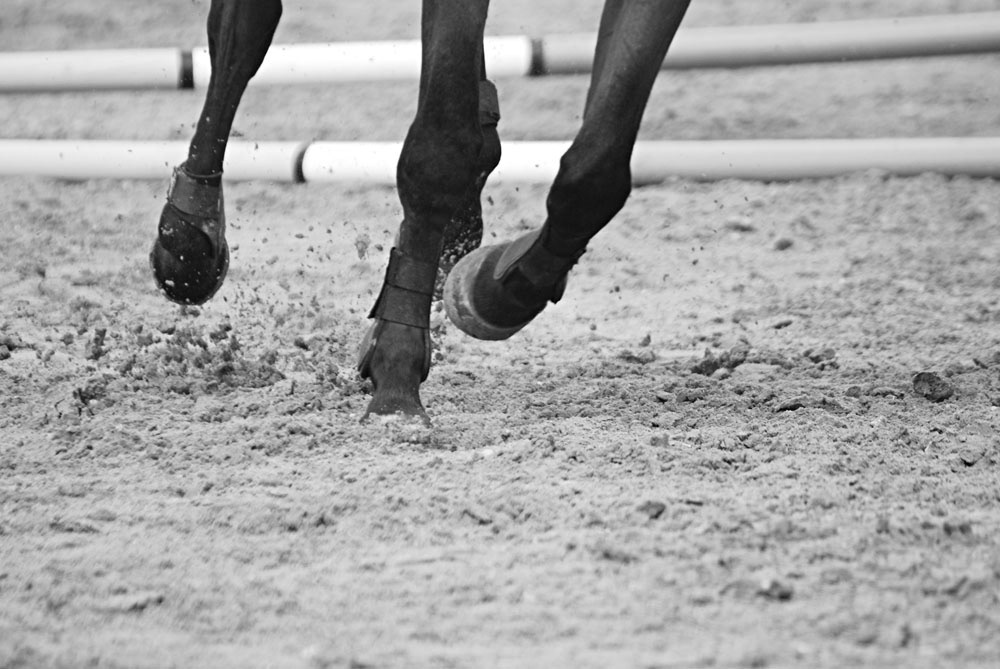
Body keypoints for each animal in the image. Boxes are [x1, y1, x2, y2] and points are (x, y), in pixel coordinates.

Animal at [149, 0, 691, 423]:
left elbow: (597, 172)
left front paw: (495, 289)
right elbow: (439, 150)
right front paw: (397, 377)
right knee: (243, 30)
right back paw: (189, 235)